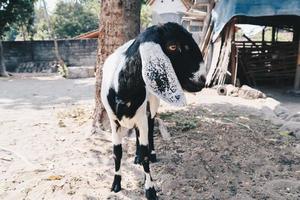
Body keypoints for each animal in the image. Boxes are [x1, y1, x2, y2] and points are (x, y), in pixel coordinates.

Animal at [101, 22, 206, 199]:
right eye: (172, 46)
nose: (202, 80)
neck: (124, 91)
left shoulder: (142, 117)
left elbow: (145, 153)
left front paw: (150, 189)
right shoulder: (113, 121)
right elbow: (117, 152)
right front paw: (116, 184)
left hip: (152, 104)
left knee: (150, 129)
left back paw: (152, 154)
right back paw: (136, 156)